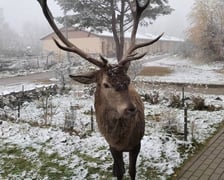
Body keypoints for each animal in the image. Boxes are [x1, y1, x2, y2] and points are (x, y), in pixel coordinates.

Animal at [36, 0, 163, 179]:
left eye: (128, 80)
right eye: (105, 84)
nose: (131, 109)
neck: (121, 140)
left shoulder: (137, 142)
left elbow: (132, 171)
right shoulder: (112, 145)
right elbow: (120, 171)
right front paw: (116, 170)